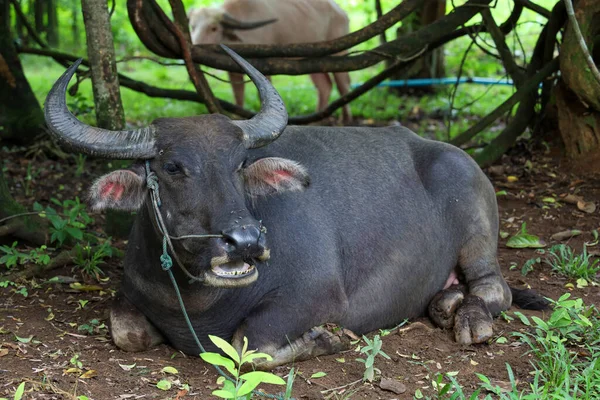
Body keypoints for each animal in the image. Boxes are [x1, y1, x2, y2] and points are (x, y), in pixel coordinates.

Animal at [44, 46, 548, 368]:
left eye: (238, 164)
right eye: (172, 166)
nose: (245, 242)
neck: (195, 297)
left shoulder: (316, 296)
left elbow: (250, 345)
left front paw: (325, 337)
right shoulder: (132, 295)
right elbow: (127, 333)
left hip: (476, 223)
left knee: (495, 287)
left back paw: (468, 317)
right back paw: (445, 303)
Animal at [188, 0, 352, 122]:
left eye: (213, 28)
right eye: (193, 26)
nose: (195, 45)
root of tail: (341, 12)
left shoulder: (264, 67)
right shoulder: (233, 71)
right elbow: (238, 96)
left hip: (339, 54)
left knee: (343, 83)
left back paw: (345, 119)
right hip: (313, 60)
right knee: (324, 85)